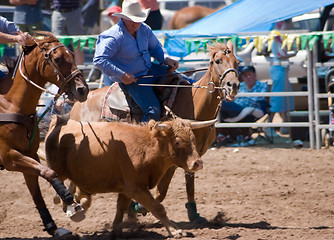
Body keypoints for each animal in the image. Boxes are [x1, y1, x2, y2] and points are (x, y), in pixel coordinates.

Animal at [0, 31, 88, 238]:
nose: (83, 89)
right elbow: (49, 172)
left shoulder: (28, 155)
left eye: (73, 55)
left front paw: (52, 227)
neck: (9, 105)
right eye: (57, 59)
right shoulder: (9, 157)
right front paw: (70, 202)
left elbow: (37, 191)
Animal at [70, 40, 240, 223]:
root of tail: (78, 104)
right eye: (217, 61)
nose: (233, 86)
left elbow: (189, 184)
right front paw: (139, 206)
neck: (195, 104)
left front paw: (194, 214)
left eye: (237, 62)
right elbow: (161, 191)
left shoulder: (194, 154)